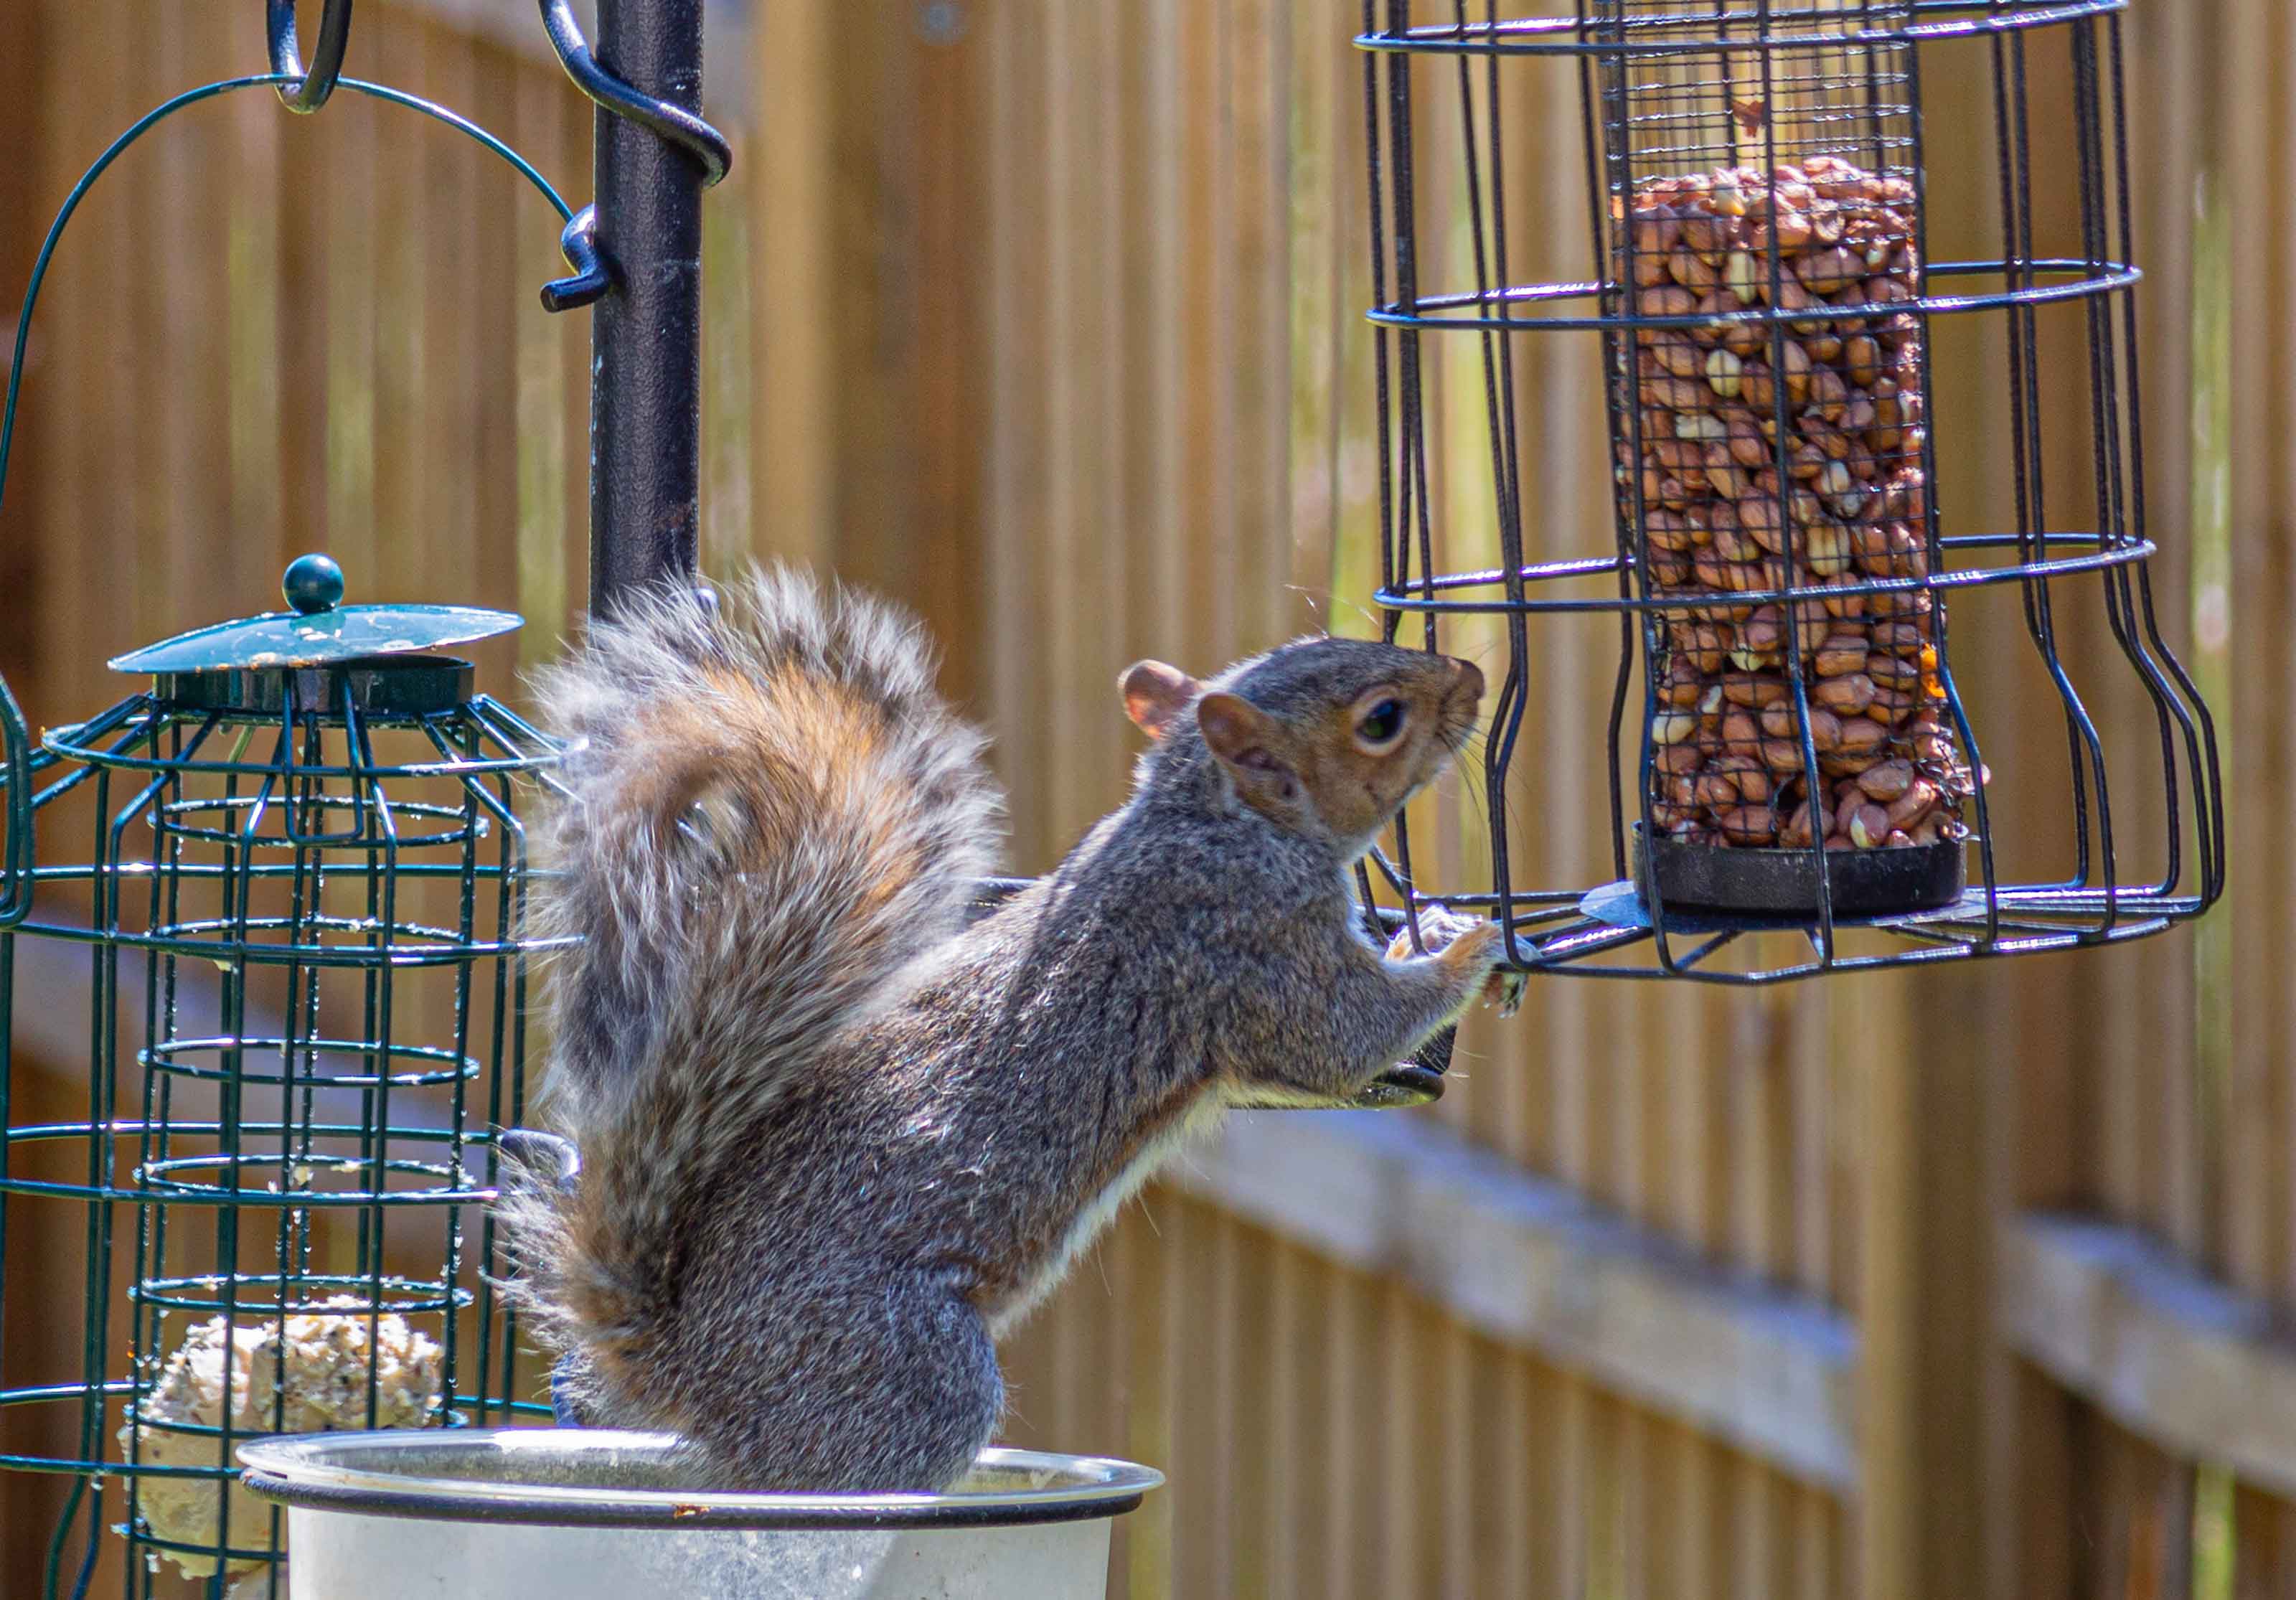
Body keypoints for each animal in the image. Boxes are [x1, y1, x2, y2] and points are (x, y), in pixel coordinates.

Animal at [500, 562, 1506, 1487]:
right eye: (1381, 718)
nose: (1469, 677)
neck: (1215, 820)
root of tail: (685, 1369)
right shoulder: (1243, 944)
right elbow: (1341, 1039)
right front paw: (1468, 947)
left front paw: (1430, 928)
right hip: (902, 1368)